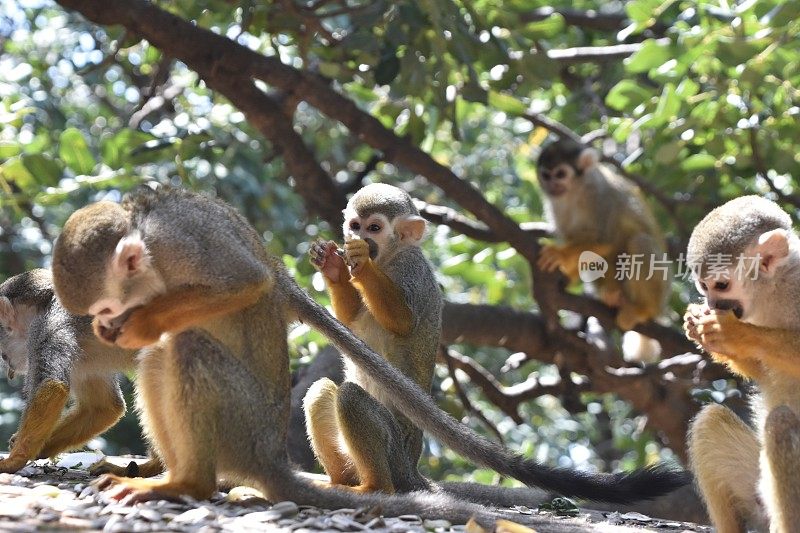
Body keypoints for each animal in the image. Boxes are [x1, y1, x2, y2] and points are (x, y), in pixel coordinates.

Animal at [306, 184, 444, 494]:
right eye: (355, 226)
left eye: (375, 228)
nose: (359, 239)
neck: (388, 259)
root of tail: (414, 468)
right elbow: (350, 318)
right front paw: (333, 266)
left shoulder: (412, 266)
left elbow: (404, 321)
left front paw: (362, 261)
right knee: (320, 390)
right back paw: (341, 480)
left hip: (396, 455)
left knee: (350, 397)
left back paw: (374, 487)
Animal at [536, 137, 668, 362]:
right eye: (546, 175)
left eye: (560, 174)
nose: (552, 185)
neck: (575, 191)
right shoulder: (555, 203)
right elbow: (578, 242)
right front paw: (567, 272)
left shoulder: (599, 194)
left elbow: (604, 239)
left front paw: (559, 254)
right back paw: (613, 296)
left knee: (640, 242)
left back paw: (644, 309)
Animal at [680, 195, 800, 532]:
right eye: (703, 287)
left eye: (721, 285)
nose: (710, 304)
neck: (776, 285)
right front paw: (703, 330)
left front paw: (734, 333)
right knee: (709, 420)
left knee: (781, 423)